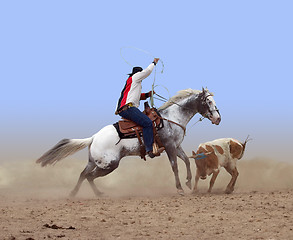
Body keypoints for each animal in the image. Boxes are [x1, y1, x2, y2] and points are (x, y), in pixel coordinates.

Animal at [36, 87, 219, 196]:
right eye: (208, 101)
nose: (218, 118)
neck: (171, 118)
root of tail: (94, 137)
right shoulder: (169, 146)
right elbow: (174, 166)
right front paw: (180, 188)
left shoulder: (176, 146)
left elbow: (187, 160)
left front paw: (188, 183)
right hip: (110, 164)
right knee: (89, 176)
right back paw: (95, 193)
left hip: (94, 162)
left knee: (83, 174)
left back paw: (78, 193)